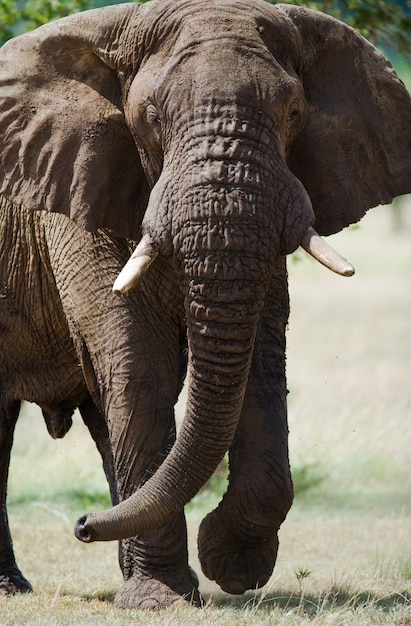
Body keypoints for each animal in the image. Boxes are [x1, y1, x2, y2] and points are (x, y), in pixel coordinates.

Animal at [0, 0, 410, 608]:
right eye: (149, 116)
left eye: (294, 111)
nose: (81, 524)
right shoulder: (72, 195)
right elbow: (139, 365)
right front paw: (161, 601)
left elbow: (261, 362)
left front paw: (231, 566)